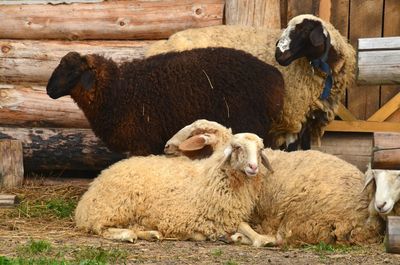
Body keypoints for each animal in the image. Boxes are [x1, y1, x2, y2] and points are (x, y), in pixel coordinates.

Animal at [46, 47, 284, 155]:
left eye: (73, 71)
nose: (49, 90)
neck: (118, 91)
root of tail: (275, 77)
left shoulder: (141, 142)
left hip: (251, 123)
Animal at [75, 130, 276, 245]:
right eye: (237, 147)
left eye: (260, 150)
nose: (253, 167)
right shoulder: (205, 218)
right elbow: (240, 226)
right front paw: (261, 239)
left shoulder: (225, 216)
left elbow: (243, 226)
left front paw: (253, 238)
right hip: (113, 207)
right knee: (101, 228)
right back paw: (126, 234)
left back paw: (151, 234)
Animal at [145, 14, 354, 151]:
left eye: (304, 31)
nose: (279, 55)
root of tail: (162, 43)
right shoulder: (291, 116)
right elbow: (291, 148)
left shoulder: (308, 118)